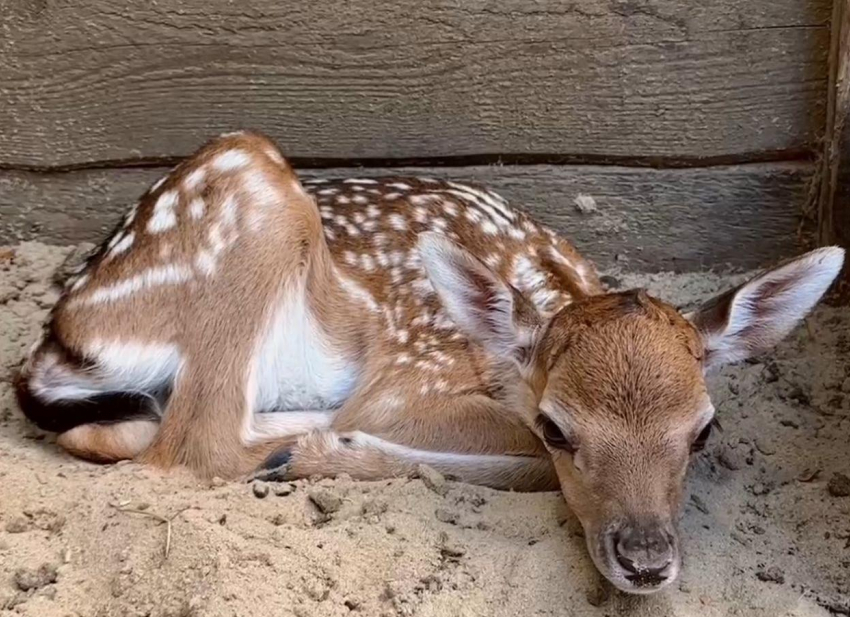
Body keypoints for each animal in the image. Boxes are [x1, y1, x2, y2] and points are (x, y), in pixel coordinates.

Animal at [14, 131, 840, 592]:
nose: (645, 559)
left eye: (704, 430)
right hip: (253, 192)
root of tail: (59, 338)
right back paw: (308, 445)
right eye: (558, 426)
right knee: (196, 440)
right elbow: (521, 454)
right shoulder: (413, 372)